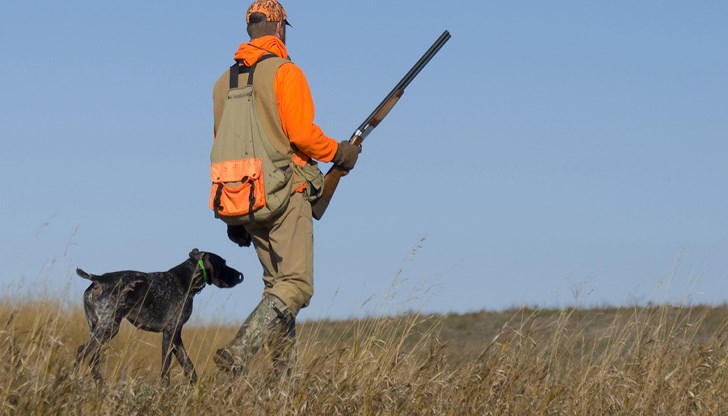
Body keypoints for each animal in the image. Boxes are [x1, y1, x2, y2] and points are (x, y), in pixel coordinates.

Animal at [75, 247, 243, 384]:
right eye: (224, 264)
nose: (240, 275)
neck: (185, 281)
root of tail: (98, 279)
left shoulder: (176, 335)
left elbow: (189, 367)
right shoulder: (170, 332)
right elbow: (166, 368)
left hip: (99, 329)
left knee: (93, 359)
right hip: (109, 327)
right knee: (83, 352)